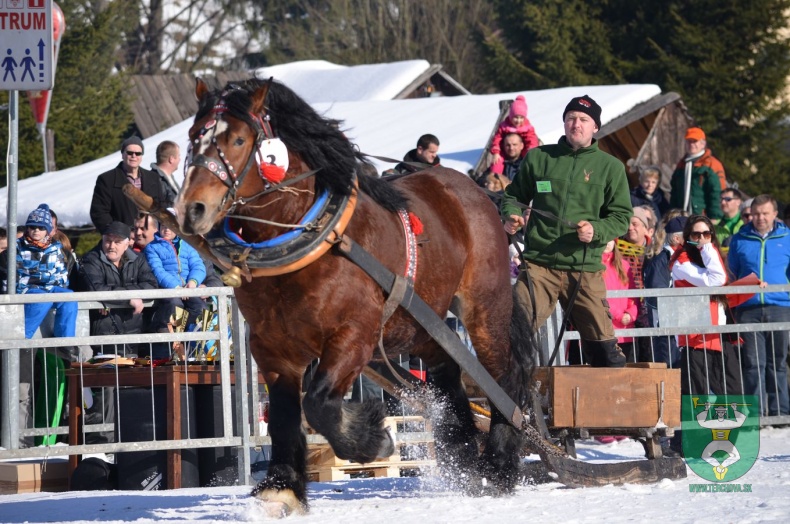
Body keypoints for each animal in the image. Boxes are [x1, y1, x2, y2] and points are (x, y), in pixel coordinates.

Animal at [175, 78, 540, 516]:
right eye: (194, 136)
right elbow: (283, 415)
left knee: (502, 376)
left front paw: (374, 439)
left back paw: (498, 465)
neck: (311, 240)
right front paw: (281, 487)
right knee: (449, 374)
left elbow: (318, 404)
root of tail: (475, 192)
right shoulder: (271, 347)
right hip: (423, 320)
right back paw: (467, 461)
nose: (191, 209)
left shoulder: (354, 336)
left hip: (484, 306)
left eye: (239, 139)